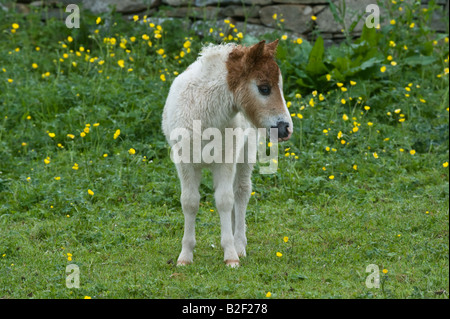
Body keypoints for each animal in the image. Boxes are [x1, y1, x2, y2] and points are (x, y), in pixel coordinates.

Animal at [162, 40, 292, 270]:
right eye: (264, 88)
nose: (286, 128)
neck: (203, 115)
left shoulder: (225, 160)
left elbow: (224, 200)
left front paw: (231, 255)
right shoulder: (184, 162)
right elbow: (189, 202)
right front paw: (185, 256)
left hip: (245, 153)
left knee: (240, 192)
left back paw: (239, 244)